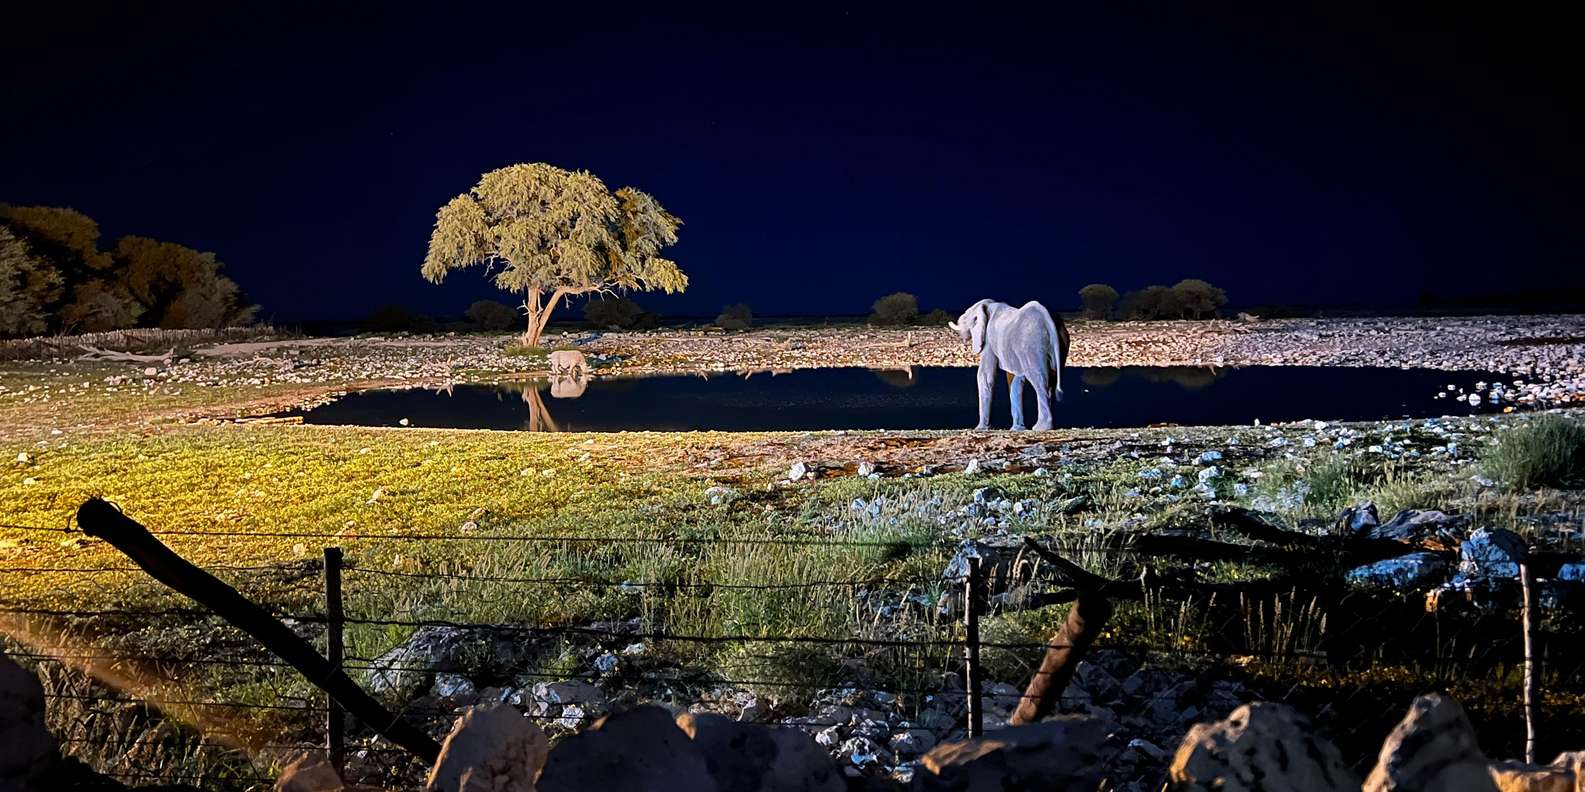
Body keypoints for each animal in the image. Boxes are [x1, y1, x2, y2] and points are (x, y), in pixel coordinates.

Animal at [944, 297, 1071, 434]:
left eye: (967, 316)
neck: (989, 305)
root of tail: (1048, 319)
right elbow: (1015, 379)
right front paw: (1017, 430)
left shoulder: (988, 341)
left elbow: (985, 376)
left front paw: (980, 429)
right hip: (1061, 342)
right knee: (1052, 381)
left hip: (1032, 346)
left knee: (1040, 382)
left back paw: (1040, 428)